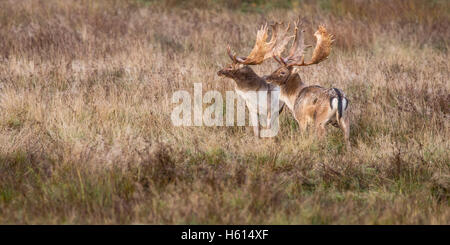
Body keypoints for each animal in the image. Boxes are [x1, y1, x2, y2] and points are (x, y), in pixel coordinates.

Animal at [264, 19, 352, 147]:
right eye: (277, 68)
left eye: (282, 72)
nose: (267, 78)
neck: (293, 98)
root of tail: (339, 98)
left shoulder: (301, 119)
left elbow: (303, 135)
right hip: (345, 119)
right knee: (347, 140)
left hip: (320, 121)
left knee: (323, 138)